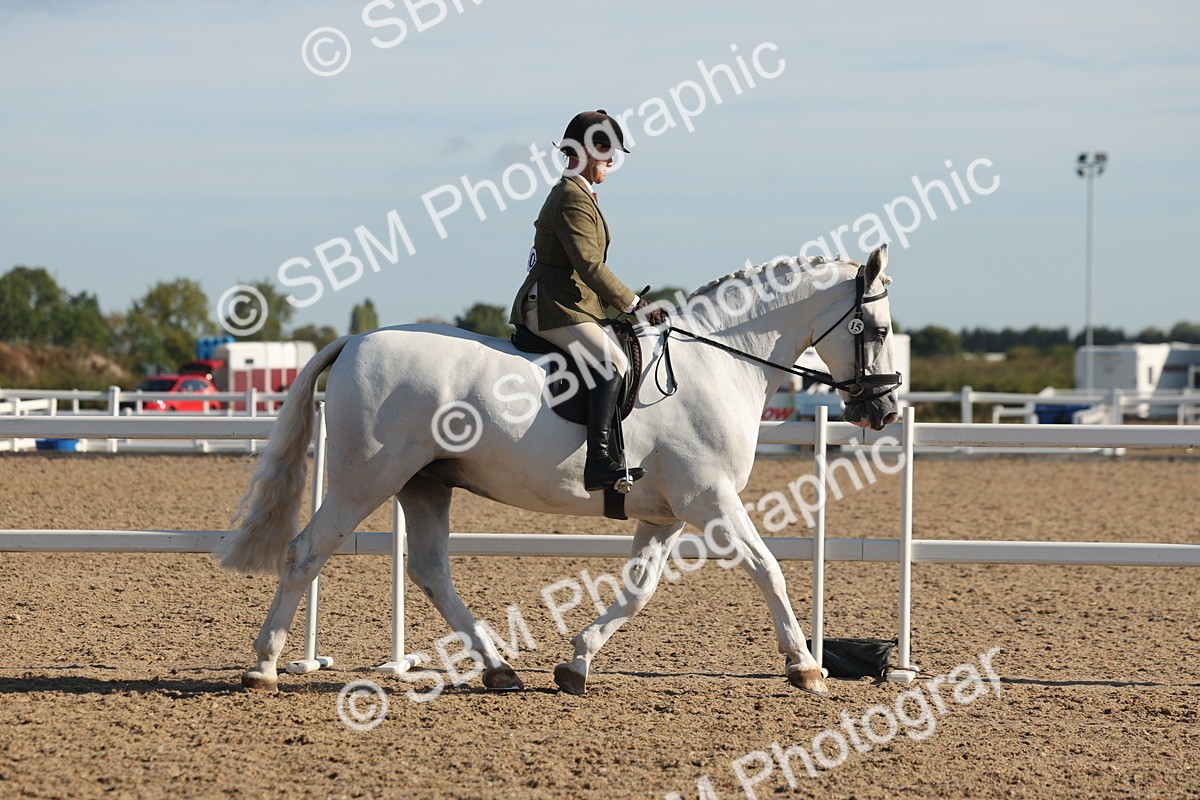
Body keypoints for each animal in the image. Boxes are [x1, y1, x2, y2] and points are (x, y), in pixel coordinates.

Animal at [217, 245, 900, 697]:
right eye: (877, 328)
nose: (886, 410)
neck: (719, 364)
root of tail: (356, 340)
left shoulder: (669, 513)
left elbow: (638, 588)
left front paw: (576, 663)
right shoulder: (710, 499)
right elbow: (768, 569)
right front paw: (805, 666)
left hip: (425, 484)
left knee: (431, 571)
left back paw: (499, 669)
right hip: (367, 479)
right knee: (307, 551)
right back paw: (264, 666)